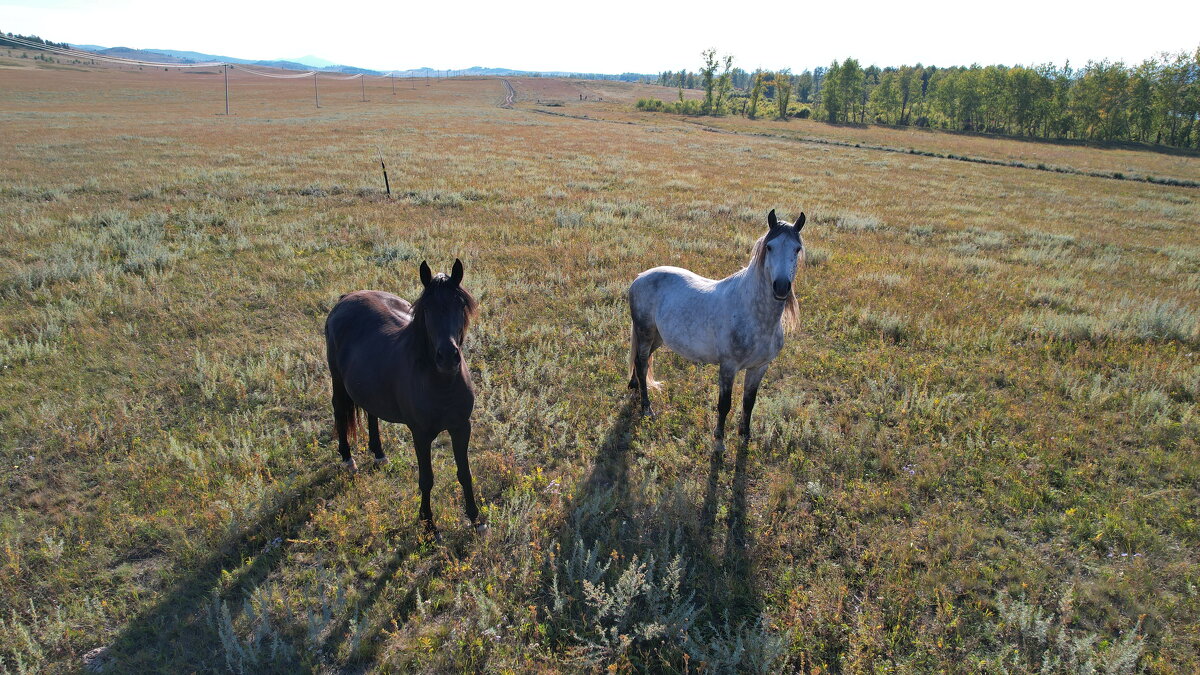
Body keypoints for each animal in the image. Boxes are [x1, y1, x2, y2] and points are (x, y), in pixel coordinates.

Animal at [328, 257, 482, 530]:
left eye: (460, 305)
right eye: (427, 309)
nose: (447, 357)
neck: (442, 384)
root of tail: (346, 298)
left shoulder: (462, 427)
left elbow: (465, 473)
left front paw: (476, 520)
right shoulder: (420, 434)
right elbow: (426, 479)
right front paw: (429, 525)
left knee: (371, 413)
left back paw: (379, 454)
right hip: (337, 379)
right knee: (339, 410)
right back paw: (347, 459)